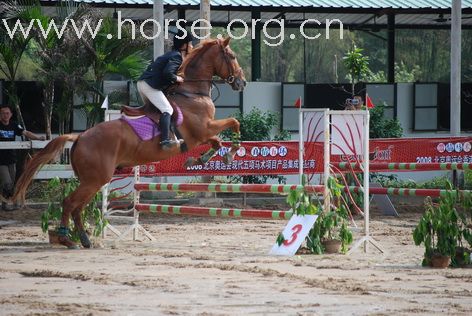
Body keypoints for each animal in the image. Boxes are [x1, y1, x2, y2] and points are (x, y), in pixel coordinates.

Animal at [12, 37, 247, 249]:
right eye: (232, 56)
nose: (241, 82)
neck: (191, 92)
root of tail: (79, 137)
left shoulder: (203, 134)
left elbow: (217, 142)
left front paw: (201, 159)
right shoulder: (203, 130)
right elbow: (233, 124)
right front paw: (230, 153)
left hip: (91, 180)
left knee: (78, 207)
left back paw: (85, 240)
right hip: (96, 179)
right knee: (70, 203)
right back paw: (67, 239)